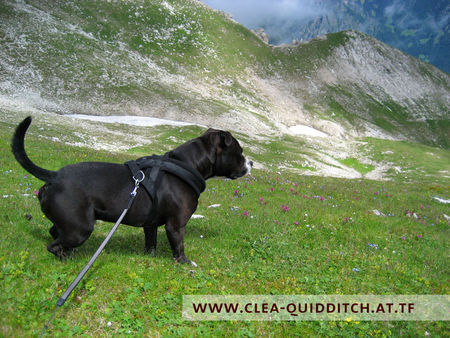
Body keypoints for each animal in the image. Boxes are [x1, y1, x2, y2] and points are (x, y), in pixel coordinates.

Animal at [11, 117, 253, 266]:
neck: (187, 164)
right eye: (239, 152)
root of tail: (54, 176)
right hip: (80, 228)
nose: (250, 162)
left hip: (71, 223)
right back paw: (67, 257)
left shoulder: (151, 224)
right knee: (53, 245)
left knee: (54, 231)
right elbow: (179, 246)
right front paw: (185, 263)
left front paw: (150, 257)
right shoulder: (176, 225)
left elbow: (151, 243)